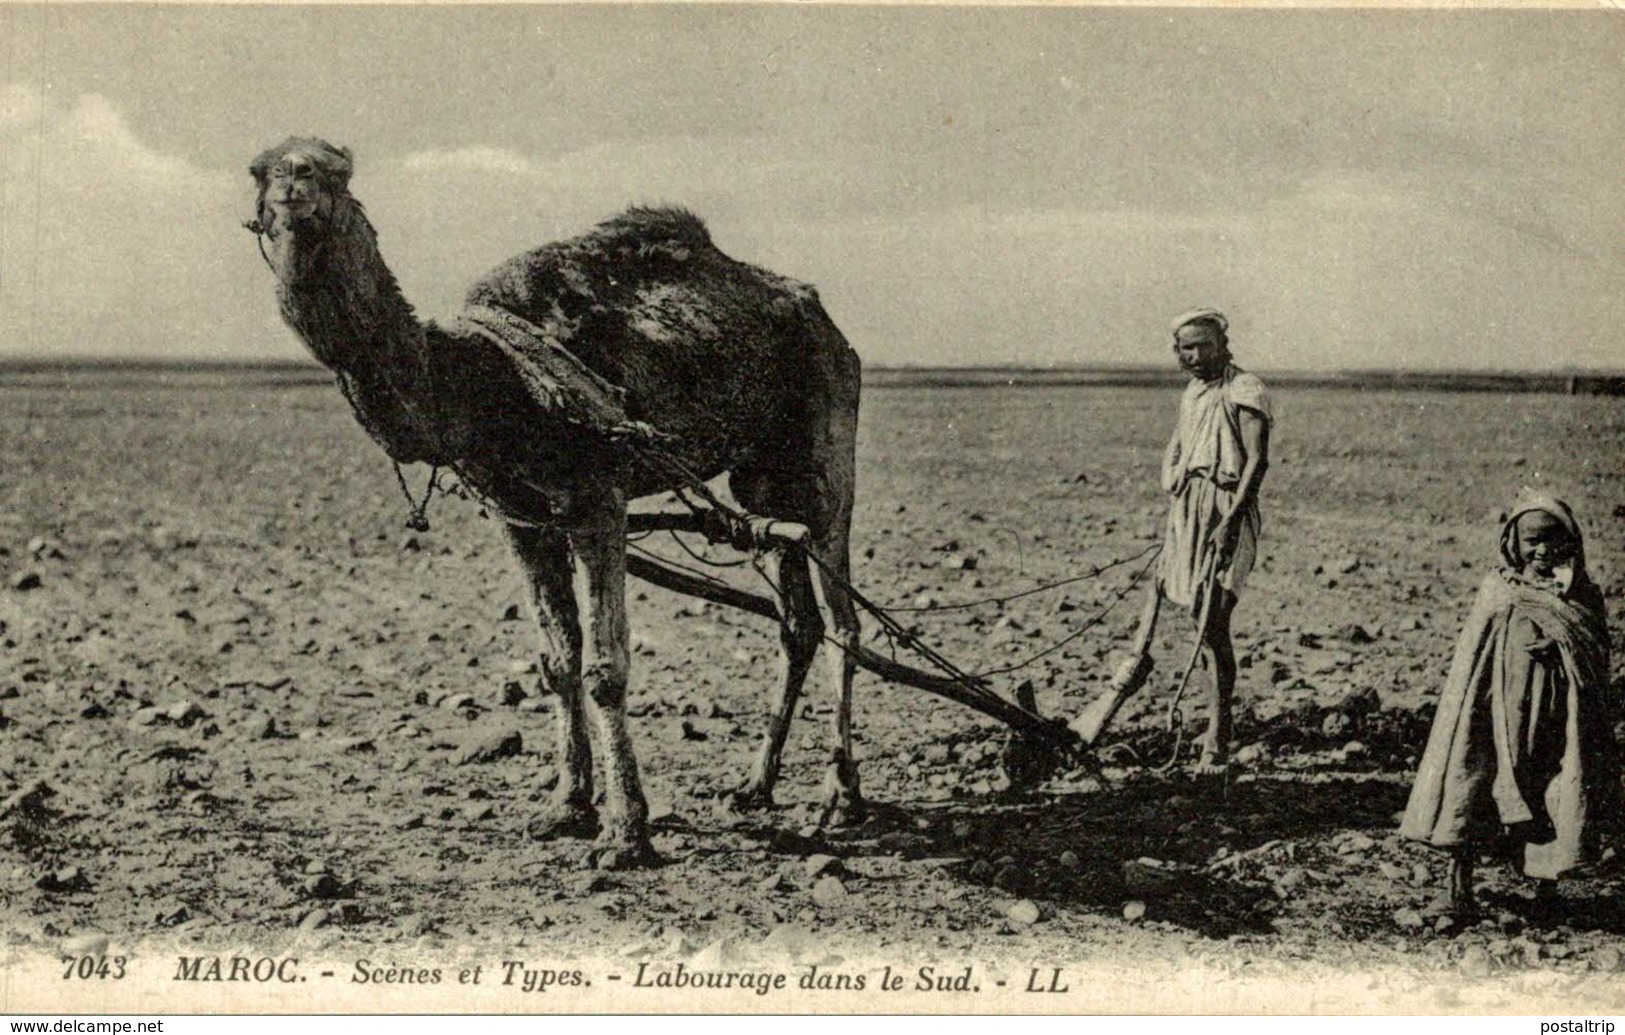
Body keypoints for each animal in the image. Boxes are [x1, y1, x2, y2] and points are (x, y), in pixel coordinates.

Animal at [247, 137, 864, 864]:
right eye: (261, 170)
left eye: (335, 171)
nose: (295, 181)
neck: (481, 380)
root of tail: (827, 320)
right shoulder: (520, 517)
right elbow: (557, 661)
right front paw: (566, 804)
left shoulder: (598, 500)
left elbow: (604, 667)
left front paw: (624, 831)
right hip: (761, 479)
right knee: (796, 620)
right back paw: (755, 786)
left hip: (826, 451)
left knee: (843, 619)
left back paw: (840, 796)